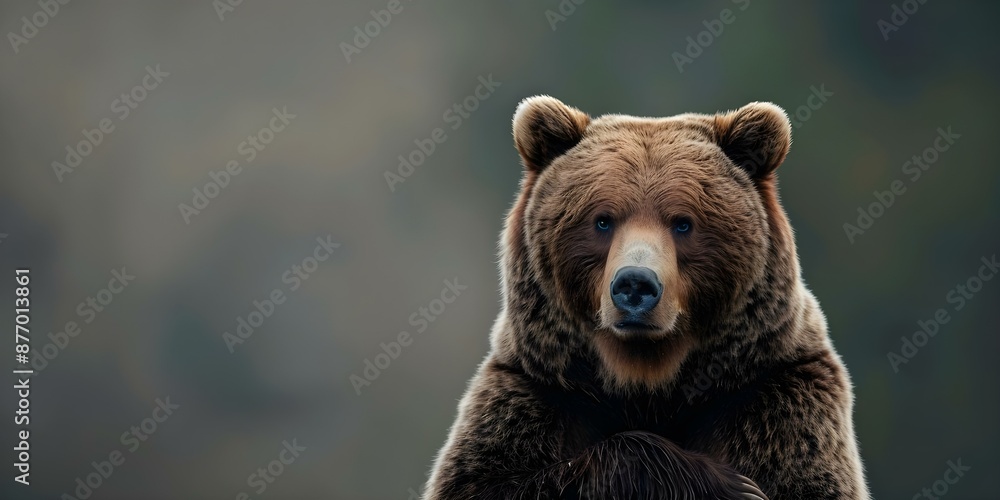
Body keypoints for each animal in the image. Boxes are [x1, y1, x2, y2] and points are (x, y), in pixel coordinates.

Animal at [424, 96, 869, 499]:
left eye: (683, 223)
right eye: (602, 220)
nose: (635, 284)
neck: (647, 381)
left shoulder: (775, 395)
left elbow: (803, 477)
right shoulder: (536, 393)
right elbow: (489, 482)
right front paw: (728, 485)